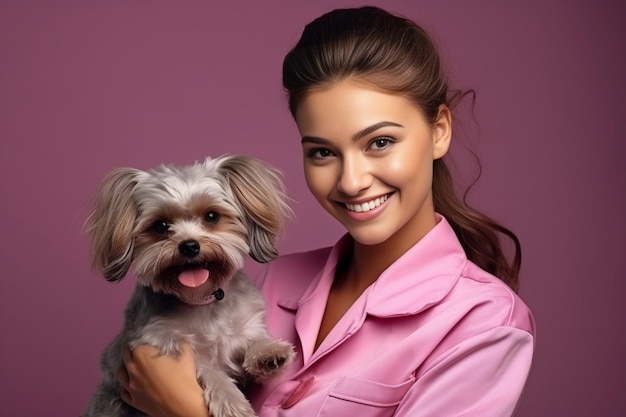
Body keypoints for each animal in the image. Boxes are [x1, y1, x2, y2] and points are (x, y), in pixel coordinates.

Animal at [83, 154, 294, 416]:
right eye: (161, 226)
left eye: (212, 216)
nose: (190, 246)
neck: (201, 299)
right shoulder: (165, 345)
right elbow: (209, 369)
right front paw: (231, 401)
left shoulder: (246, 325)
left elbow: (253, 338)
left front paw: (268, 353)